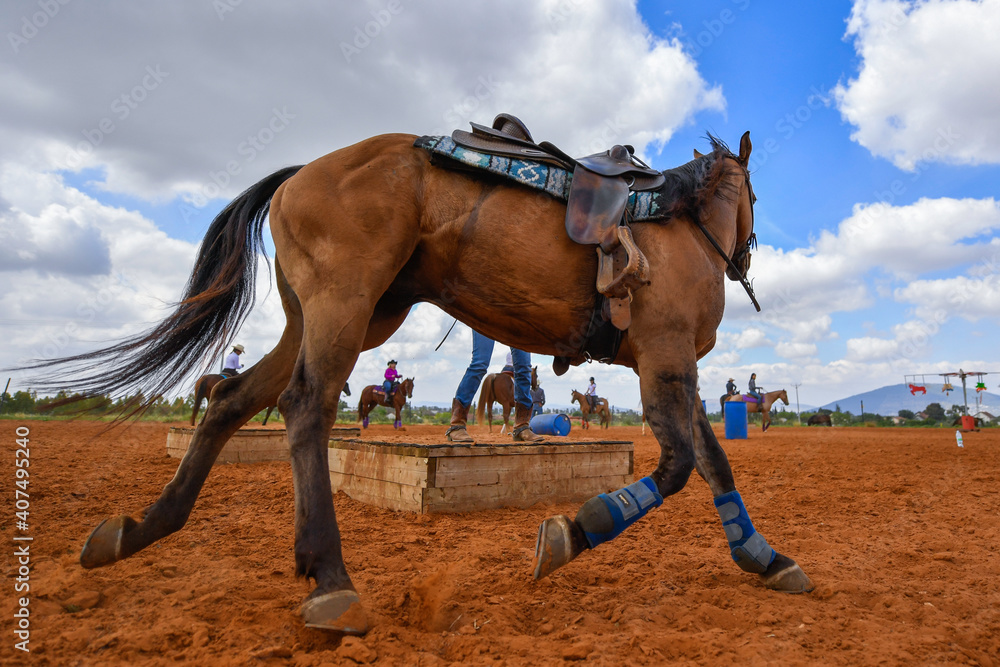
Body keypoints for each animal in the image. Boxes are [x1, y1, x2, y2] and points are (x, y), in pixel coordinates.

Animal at [24, 128, 813, 635]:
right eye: (753, 198)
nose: (745, 256)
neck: (677, 226)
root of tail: (301, 172)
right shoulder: (665, 357)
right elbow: (678, 466)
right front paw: (573, 531)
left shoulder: (677, 368)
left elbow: (715, 462)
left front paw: (765, 557)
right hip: (344, 305)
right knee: (304, 407)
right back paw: (330, 579)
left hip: (327, 316)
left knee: (230, 402)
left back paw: (141, 529)